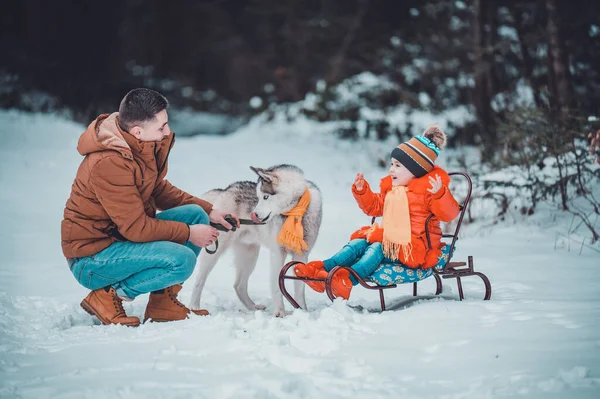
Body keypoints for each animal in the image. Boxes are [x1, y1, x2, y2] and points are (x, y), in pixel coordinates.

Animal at [191, 164, 324, 318]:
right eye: (258, 198)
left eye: (265, 197)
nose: (254, 215)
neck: (296, 214)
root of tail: (225, 190)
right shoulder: (277, 253)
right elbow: (277, 286)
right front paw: (280, 312)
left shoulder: (302, 255)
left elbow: (300, 287)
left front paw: (302, 311)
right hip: (215, 252)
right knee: (199, 279)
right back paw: (194, 307)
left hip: (250, 256)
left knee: (238, 285)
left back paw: (253, 307)